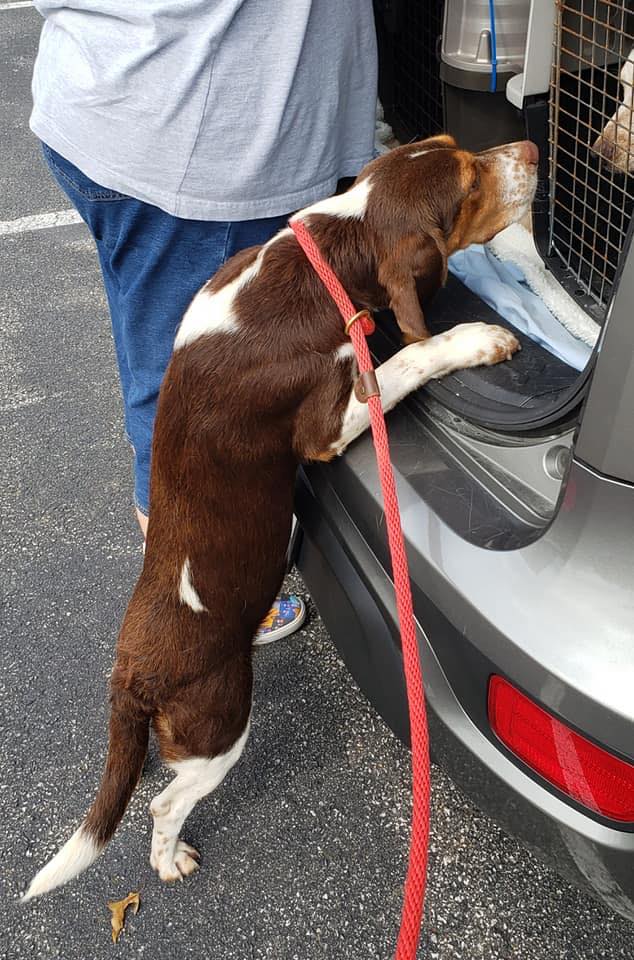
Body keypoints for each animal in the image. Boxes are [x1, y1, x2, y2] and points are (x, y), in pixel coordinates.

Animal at [24, 134, 537, 899]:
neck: (328, 249)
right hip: (219, 725)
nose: (531, 148)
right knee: (165, 803)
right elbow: (412, 357)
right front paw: (477, 339)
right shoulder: (328, 422)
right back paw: (169, 857)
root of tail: (131, 675)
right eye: (470, 182)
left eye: (457, 148)